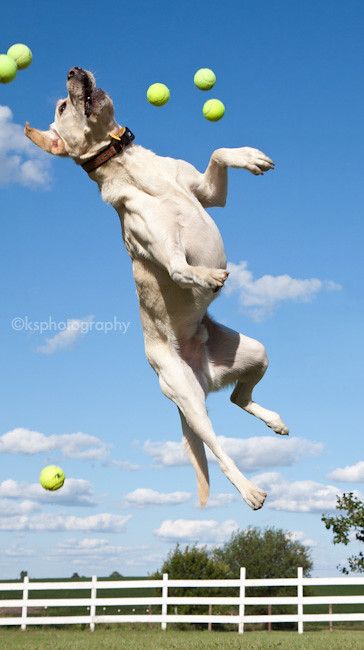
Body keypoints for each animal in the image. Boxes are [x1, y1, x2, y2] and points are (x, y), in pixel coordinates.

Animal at [24, 68, 288, 508]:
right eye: (62, 106)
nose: (74, 71)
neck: (128, 164)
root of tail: (203, 375)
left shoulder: (207, 194)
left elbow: (218, 151)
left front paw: (249, 157)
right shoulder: (160, 246)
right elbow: (181, 270)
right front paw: (208, 278)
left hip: (255, 353)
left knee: (238, 398)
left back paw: (275, 422)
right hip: (190, 401)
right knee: (219, 449)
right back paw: (250, 490)